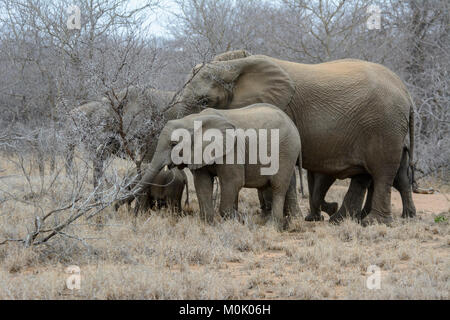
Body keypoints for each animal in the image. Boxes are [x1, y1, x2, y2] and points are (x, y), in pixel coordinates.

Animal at [121, 104, 300, 231]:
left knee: (278, 187)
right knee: (289, 185)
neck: (194, 120)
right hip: (289, 151)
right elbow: (202, 183)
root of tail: (292, 122)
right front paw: (209, 225)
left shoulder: (233, 149)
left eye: (173, 144)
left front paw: (239, 222)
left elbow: (233, 182)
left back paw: (273, 226)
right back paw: (292, 223)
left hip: (285, 150)